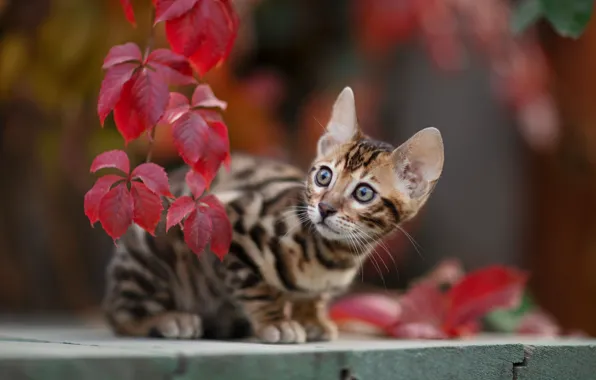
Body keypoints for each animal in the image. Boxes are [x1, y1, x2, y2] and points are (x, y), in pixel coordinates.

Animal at [102, 87, 442, 344]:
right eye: (323, 176)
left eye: (363, 193)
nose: (325, 208)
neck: (330, 256)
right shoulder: (229, 225)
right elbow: (256, 288)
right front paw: (275, 322)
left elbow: (313, 297)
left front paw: (310, 317)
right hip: (151, 250)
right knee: (120, 315)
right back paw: (167, 319)